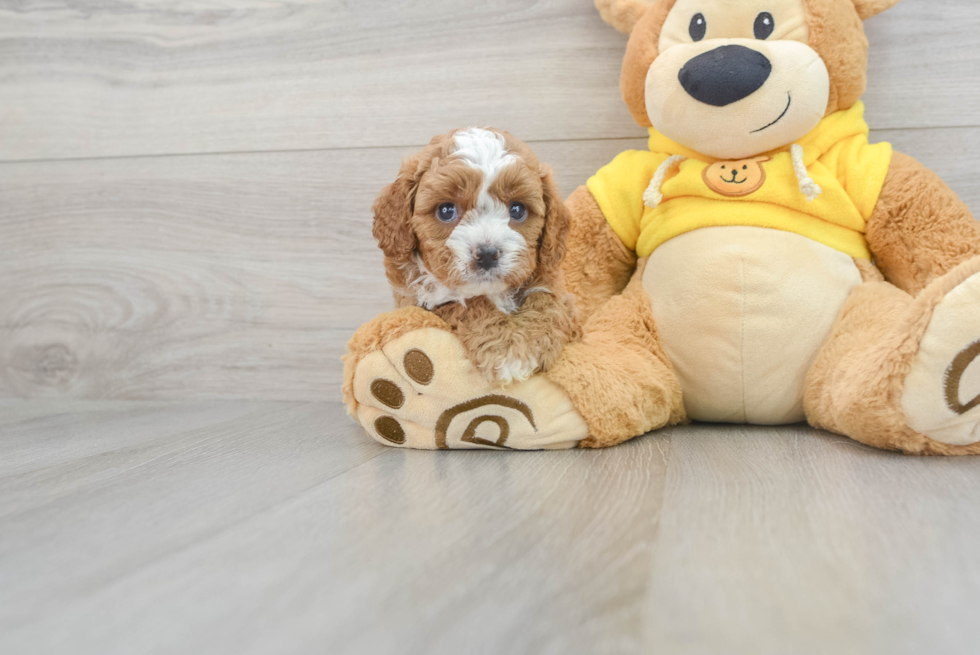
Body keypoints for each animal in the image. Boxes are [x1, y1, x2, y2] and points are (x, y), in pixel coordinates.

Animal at [372, 127, 580, 384]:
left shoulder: (556, 288)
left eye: (517, 209)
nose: (487, 254)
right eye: (446, 210)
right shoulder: (421, 302)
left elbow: (545, 299)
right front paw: (507, 351)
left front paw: (534, 343)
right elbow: (466, 305)